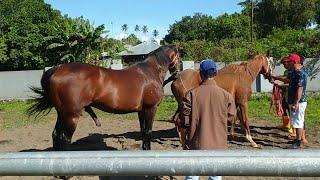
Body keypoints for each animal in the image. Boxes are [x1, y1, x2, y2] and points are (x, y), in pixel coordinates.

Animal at [26, 44, 180, 151]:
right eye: (179, 55)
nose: (177, 72)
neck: (149, 72)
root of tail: (57, 68)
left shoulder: (141, 111)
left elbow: (143, 132)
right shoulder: (150, 109)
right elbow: (148, 132)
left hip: (62, 114)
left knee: (55, 135)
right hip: (71, 115)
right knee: (64, 138)